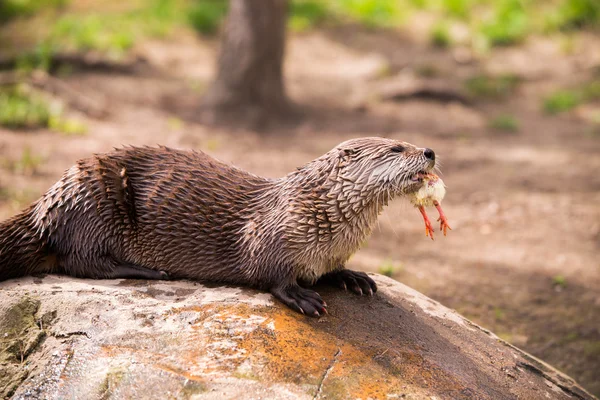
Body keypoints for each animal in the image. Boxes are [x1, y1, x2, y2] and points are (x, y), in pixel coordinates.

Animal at [0, 138, 438, 316]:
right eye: (397, 147)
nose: (430, 151)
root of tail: (47, 202)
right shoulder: (271, 237)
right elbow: (272, 275)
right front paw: (303, 297)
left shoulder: (328, 252)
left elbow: (330, 270)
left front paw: (353, 277)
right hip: (95, 202)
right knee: (82, 261)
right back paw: (147, 270)